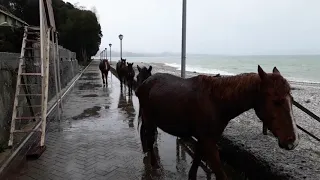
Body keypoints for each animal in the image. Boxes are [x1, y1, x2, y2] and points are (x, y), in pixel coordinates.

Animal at [136, 65, 298, 180]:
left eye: (292, 100)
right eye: (276, 101)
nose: (292, 141)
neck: (216, 101)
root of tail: (145, 84)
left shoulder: (206, 139)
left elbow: (197, 161)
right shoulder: (208, 141)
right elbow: (220, 173)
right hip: (149, 119)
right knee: (149, 138)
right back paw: (154, 164)